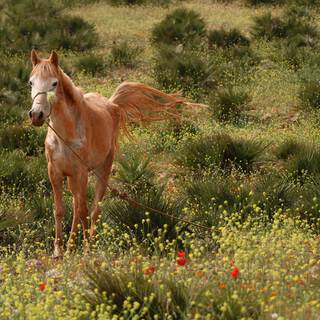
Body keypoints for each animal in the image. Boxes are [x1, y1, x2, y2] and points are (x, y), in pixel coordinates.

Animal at [29, 49, 186, 258]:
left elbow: (83, 211)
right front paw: (58, 251)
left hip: (101, 171)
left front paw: (85, 249)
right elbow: (60, 211)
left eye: (54, 83)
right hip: (73, 179)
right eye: (31, 82)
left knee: (93, 209)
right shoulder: (55, 173)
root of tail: (111, 104)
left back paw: (87, 245)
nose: (36, 115)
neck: (65, 135)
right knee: (77, 207)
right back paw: (70, 248)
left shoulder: (81, 173)